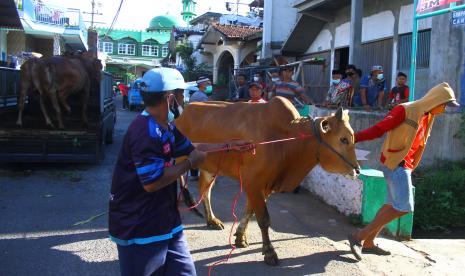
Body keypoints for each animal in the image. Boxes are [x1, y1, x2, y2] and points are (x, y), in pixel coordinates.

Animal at [174, 97, 358, 268]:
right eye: (343, 139)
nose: (357, 170)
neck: (287, 139)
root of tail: (182, 113)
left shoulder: (264, 185)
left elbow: (250, 211)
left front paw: (240, 237)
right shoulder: (253, 182)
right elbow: (263, 219)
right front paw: (269, 252)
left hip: (210, 168)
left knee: (205, 191)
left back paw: (212, 220)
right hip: (179, 162)